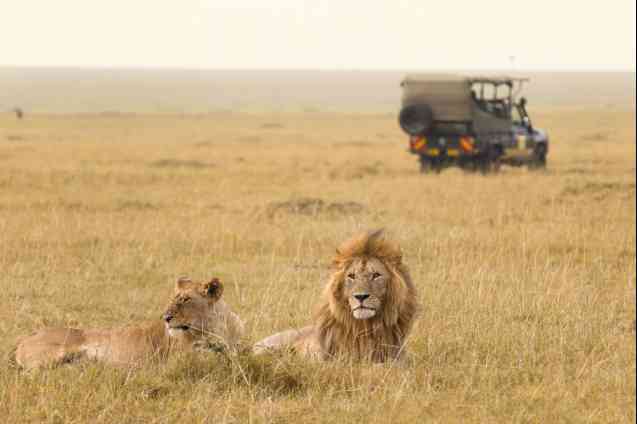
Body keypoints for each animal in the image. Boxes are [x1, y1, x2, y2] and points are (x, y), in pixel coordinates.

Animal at [15, 276, 243, 370]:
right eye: (173, 298)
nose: (166, 317)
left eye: (186, 299)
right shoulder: (180, 360)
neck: (218, 327)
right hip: (55, 354)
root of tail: (23, 339)